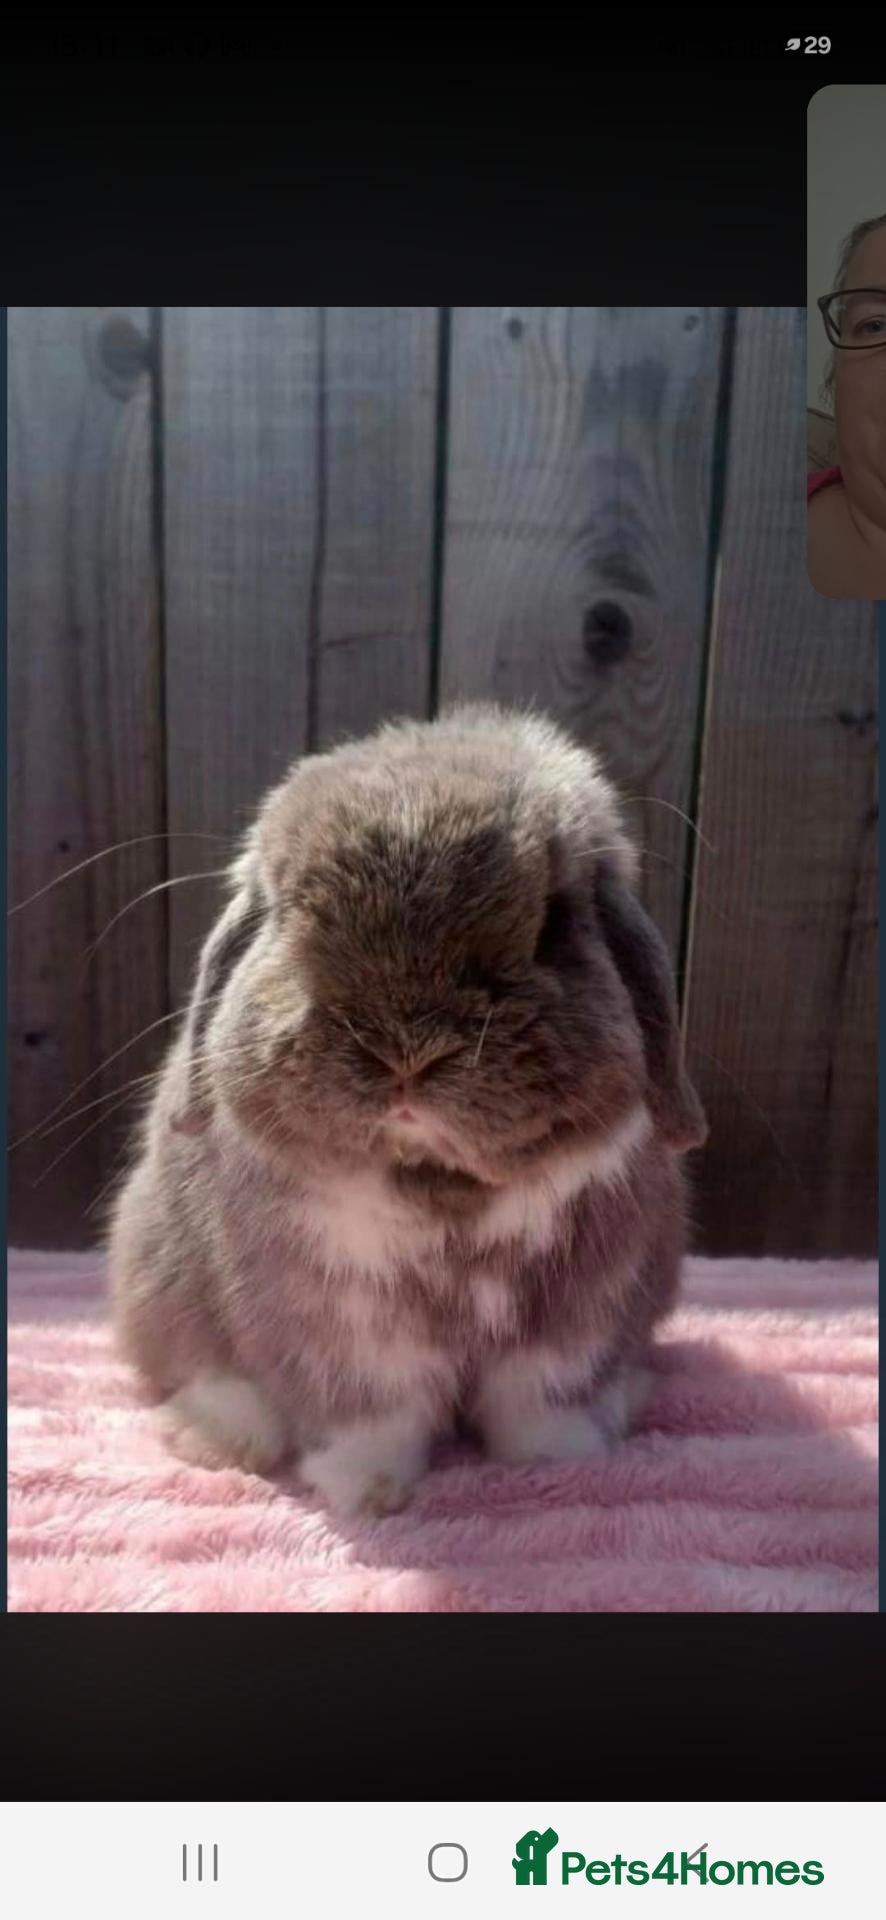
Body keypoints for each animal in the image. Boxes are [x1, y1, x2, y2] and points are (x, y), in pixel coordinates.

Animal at [108, 704, 707, 1517]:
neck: (438, 1182)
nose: (406, 1052)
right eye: (286, 918)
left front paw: (559, 1466)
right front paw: (366, 1495)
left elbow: (543, 1405)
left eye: (554, 924)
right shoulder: (342, 1334)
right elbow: (369, 1421)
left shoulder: (574, 1322)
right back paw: (221, 1439)